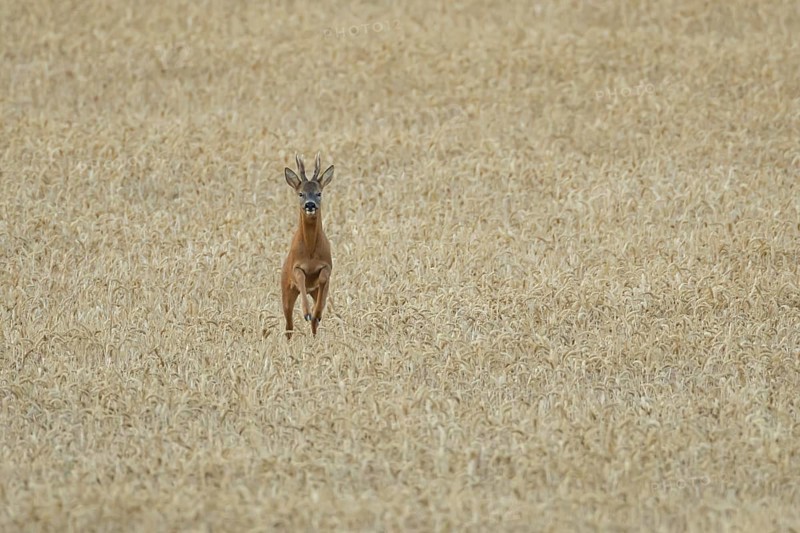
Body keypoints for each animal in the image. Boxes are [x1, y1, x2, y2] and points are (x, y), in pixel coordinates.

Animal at [281, 153, 335, 339]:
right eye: (300, 193)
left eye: (319, 193)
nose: (310, 205)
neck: (310, 252)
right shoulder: (296, 266)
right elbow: (301, 277)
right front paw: (306, 312)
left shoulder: (327, 266)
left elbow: (323, 277)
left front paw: (315, 313)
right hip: (285, 290)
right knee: (288, 325)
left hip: (315, 291)